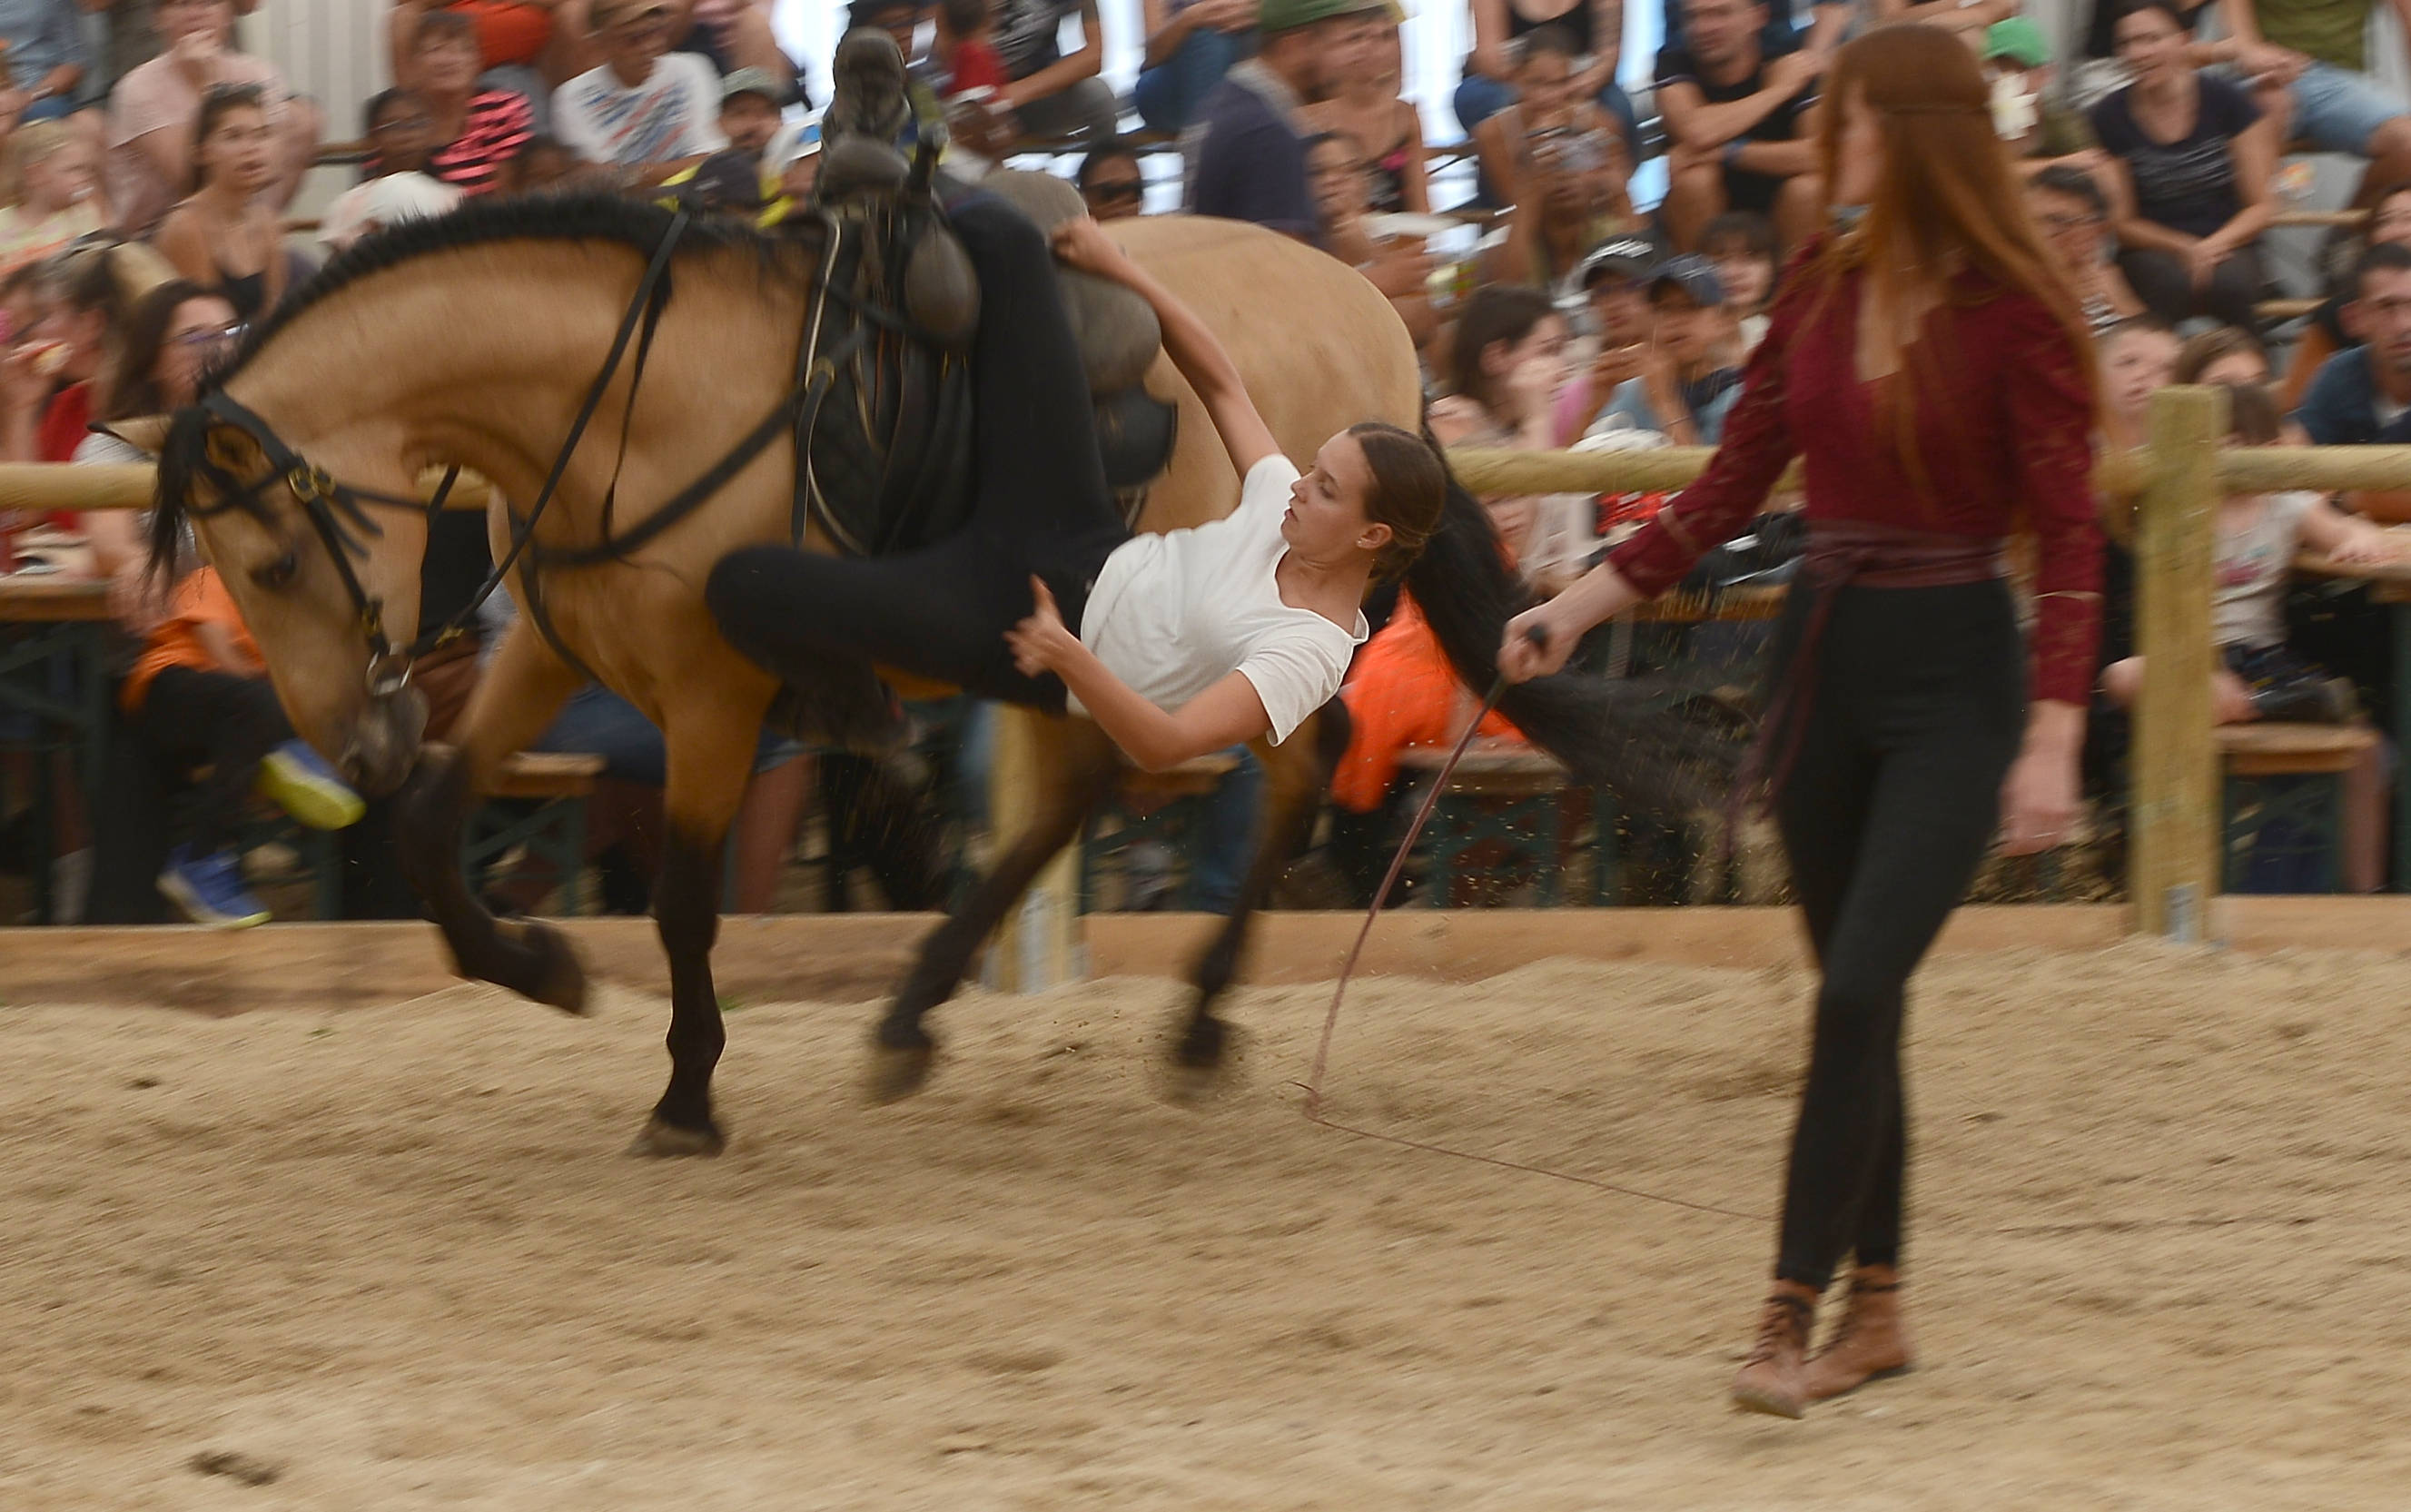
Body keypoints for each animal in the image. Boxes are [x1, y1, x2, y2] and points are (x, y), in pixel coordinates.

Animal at [132, 192, 1706, 1157]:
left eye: (269, 560)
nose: (352, 737)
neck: (626, 398)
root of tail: (1378, 319)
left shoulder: (709, 700)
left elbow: (688, 902)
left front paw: (686, 1092)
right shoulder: (559, 649)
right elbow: (433, 837)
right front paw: (540, 962)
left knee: (1283, 774)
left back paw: (1192, 1016)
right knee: (1077, 793)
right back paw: (918, 1008)